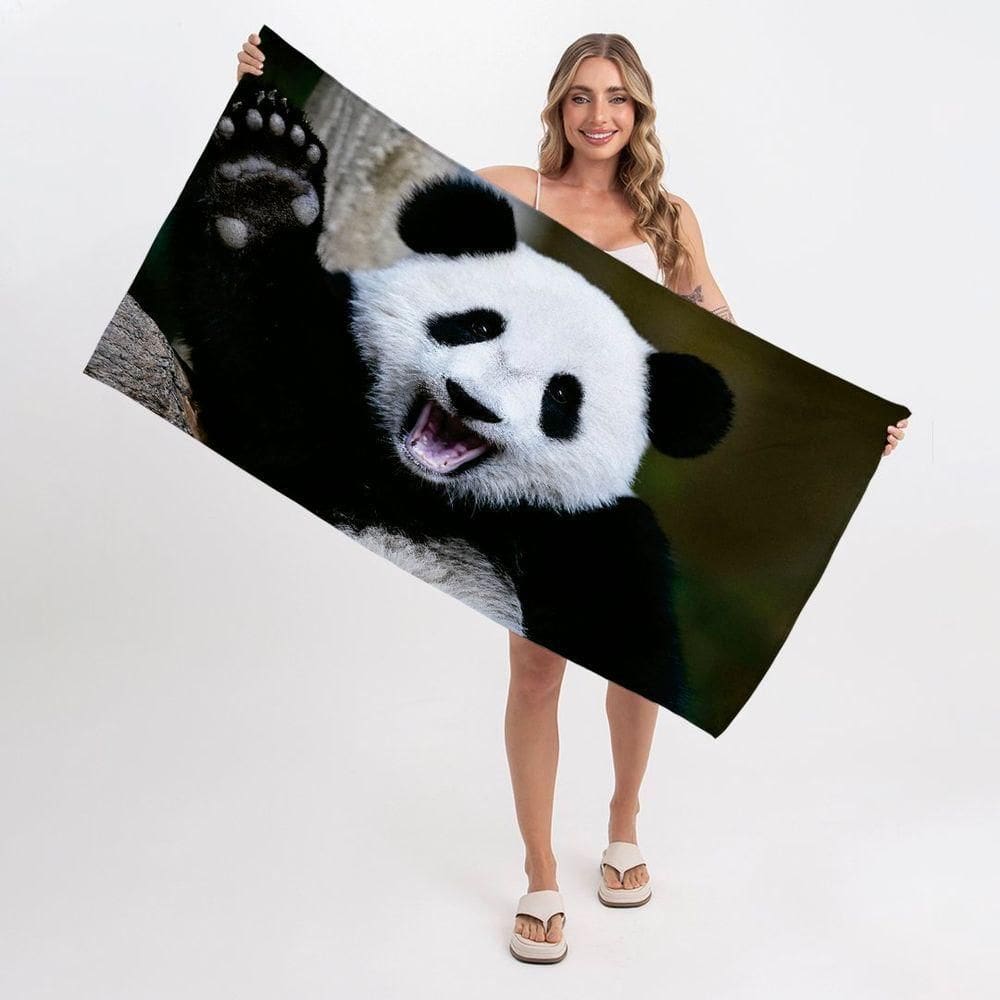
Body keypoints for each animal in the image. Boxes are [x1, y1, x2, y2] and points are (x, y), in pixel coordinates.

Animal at [132, 82, 735, 711]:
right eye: (476, 326)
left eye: (561, 398)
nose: (471, 403)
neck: (424, 493)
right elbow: (268, 378)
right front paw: (261, 189)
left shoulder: (598, 545)